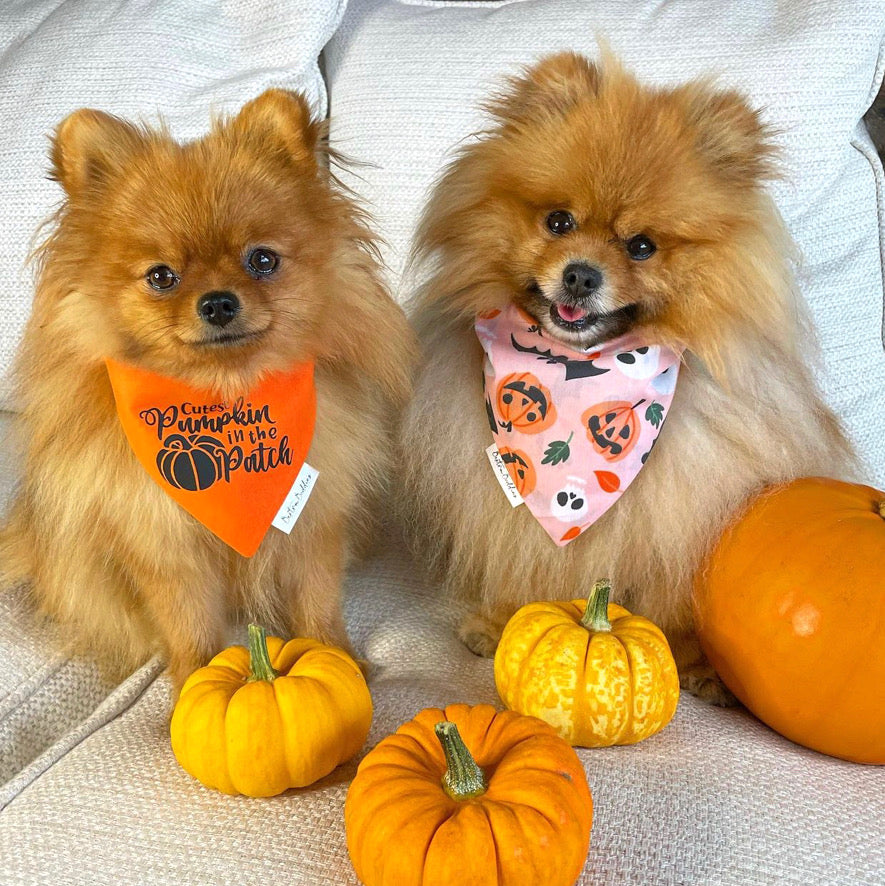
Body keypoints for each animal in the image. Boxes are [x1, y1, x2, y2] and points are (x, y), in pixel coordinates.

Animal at [0, 88, 414, 688]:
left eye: (262, 259)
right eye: (161, 277)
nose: (218, 302)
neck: (225, 397)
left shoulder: (312, 525)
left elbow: (317, 602)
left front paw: (340, 659)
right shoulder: (167, 549)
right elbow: (189, 624)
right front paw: (195, 680)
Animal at [400, 53, 848, 708]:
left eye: (641, 246)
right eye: (558, 221)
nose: (581, 275)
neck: (580, 373)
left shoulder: (684, 512)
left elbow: (672, 593)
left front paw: (697, 662)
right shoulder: (507, 503)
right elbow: (522, 556)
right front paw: (500, 619)